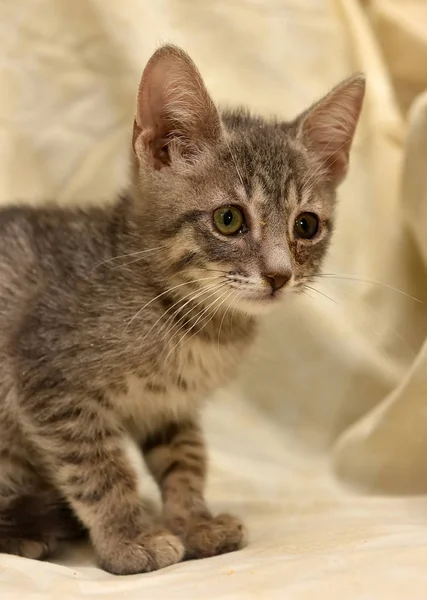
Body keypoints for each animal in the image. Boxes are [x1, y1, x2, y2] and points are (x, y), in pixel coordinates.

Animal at [0, 44, 366, 576]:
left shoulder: (168, 406)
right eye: (228, 219)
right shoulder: (46, 375)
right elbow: (100, 469)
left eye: (306, 225)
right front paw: (128, 538)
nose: (279, 275)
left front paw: (194, 522)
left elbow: (186, 460)